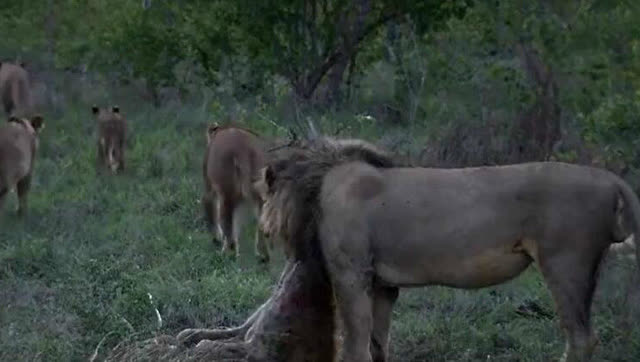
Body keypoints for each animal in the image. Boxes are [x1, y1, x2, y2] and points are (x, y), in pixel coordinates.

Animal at [201, 123, 268, 262]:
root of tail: (243, 147)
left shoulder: (210, 192)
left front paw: (216, 239)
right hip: (258, 194)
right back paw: (263, 255)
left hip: (227, 194)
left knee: (227, 224)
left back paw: (227, 254)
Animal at [258, 141, 640, 362]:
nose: (262, 228)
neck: (321, 184)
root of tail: (613, 181)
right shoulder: (382, 284)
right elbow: (378, 343)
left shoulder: (351, 273)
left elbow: (355, 344)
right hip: (585, 267)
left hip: (565, 264)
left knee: (581, 339)